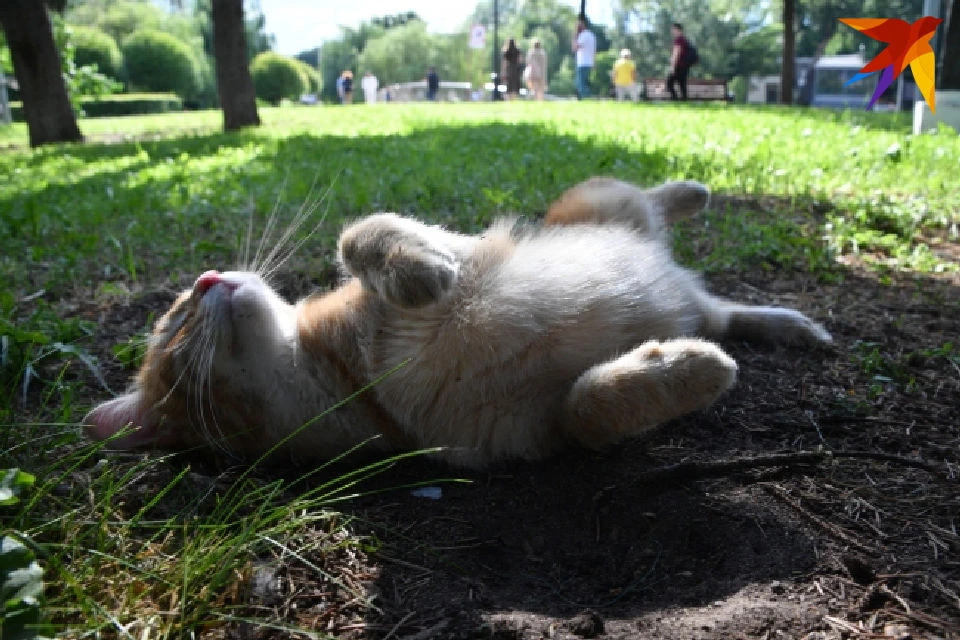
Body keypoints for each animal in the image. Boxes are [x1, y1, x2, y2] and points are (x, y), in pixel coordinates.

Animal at [86, 178, 828, 468]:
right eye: (175, 327)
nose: (208, 279)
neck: (351, 376)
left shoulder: (446, 250)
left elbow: (363, 233)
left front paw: (419, 268)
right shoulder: (538, 431)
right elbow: (589, 407)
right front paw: (685, 369)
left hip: (599, 206)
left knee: (640, 198)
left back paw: (692, 193)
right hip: (700, 304)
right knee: (720, 312)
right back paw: (787, 327)